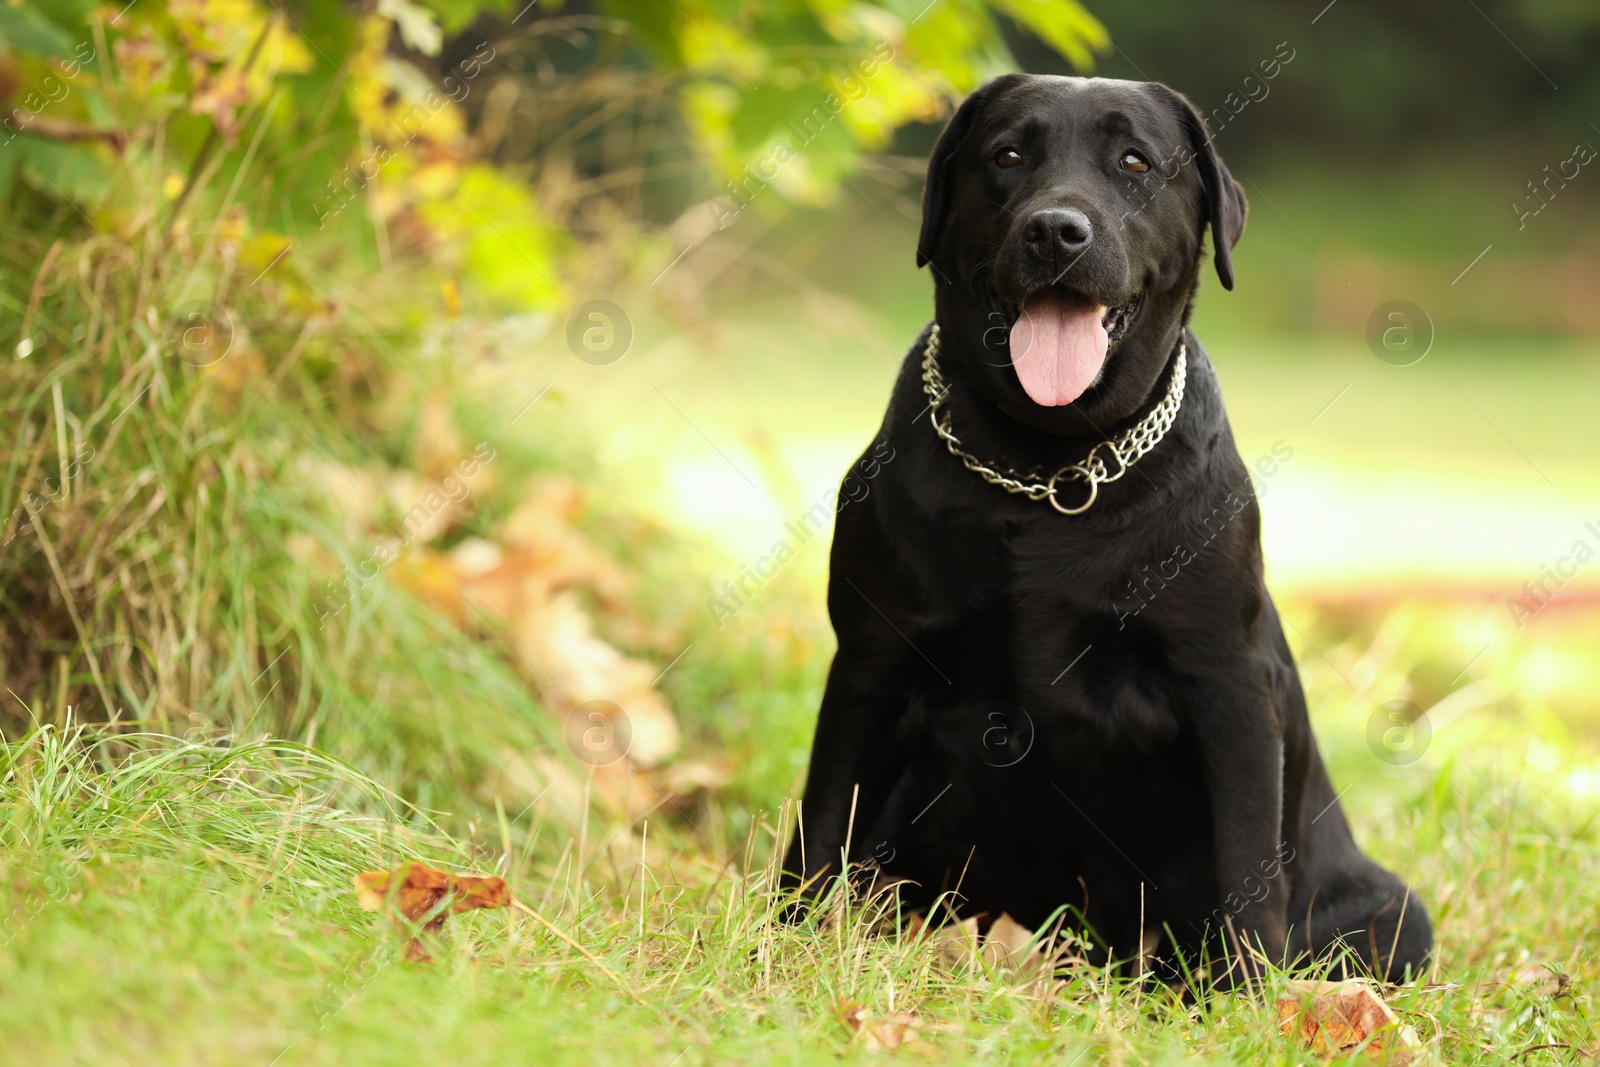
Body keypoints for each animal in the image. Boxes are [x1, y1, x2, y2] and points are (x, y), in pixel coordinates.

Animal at [780, 73, 1433, 985]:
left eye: (1134, 162)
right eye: (1006, 155)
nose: (1057, 229)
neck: (1046, 469)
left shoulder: (1226, 684)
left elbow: (1245, 868)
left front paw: (1246, 997)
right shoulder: (871, 660)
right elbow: (819, 826)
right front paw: (781, 947)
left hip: (1396, 912)